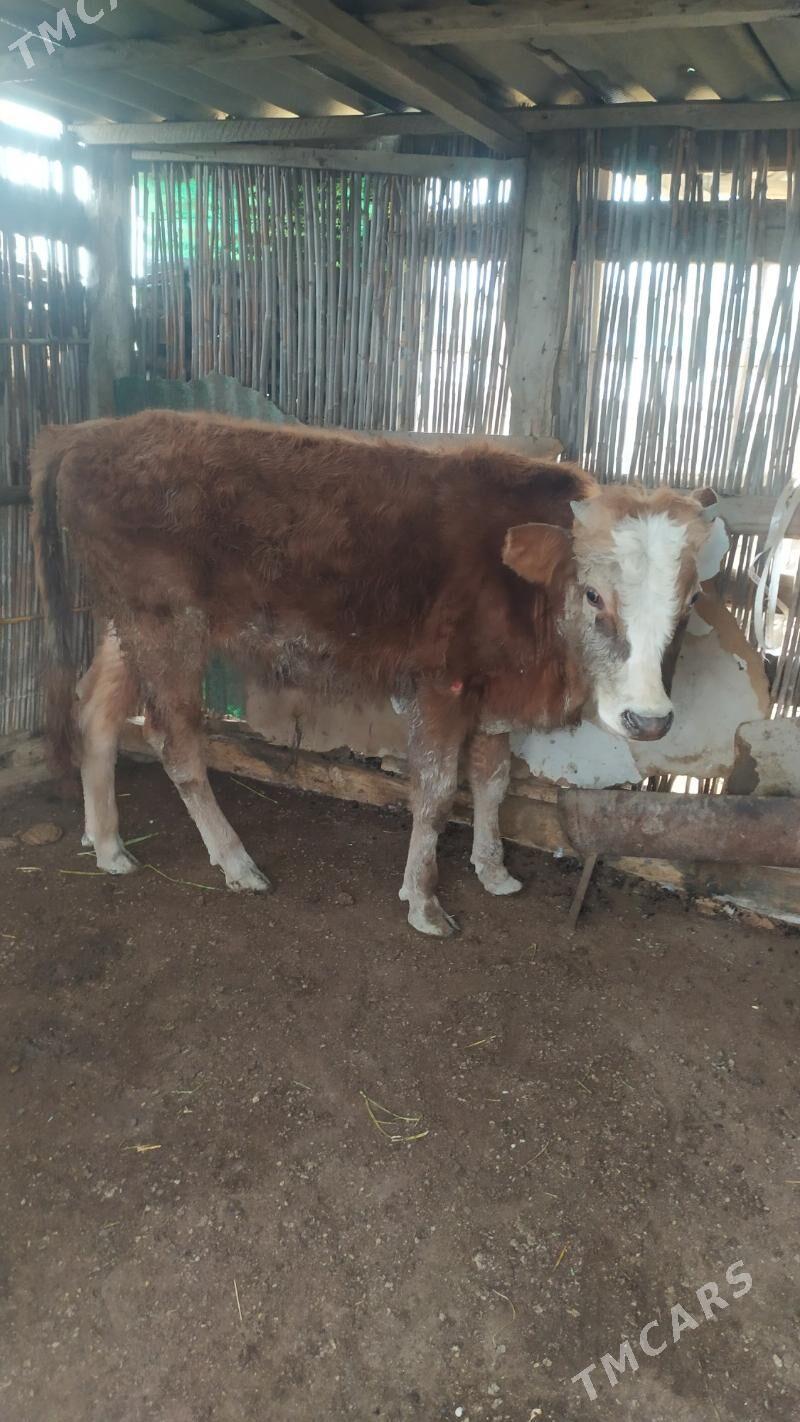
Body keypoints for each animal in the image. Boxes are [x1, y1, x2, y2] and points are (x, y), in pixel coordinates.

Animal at [30, 412, 714, 936]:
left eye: (690, 600)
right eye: (595, 594)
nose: (649, 719)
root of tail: (90, 431)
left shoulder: (492, 693)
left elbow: (493, 781)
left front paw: (493, 871)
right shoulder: (440, 686)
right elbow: (436, 792)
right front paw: (425, 901)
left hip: (124, 624)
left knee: (96, 709)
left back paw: (109, 846)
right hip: (166, 629)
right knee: (174, 742)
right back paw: (236, 862)